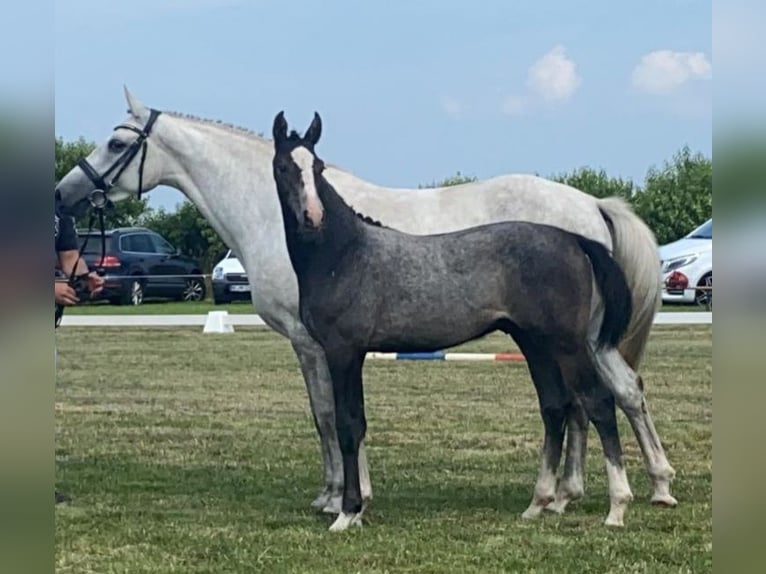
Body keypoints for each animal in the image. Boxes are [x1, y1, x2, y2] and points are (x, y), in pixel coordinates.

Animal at [270, 112, 640, 536]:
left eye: (317, 167)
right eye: (283, 167)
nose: (312, 218)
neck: (343, 255)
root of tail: (575, 239)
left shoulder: (343, 351)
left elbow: (347, 425)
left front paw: (347, 512)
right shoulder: (350, 354)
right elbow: (356, 422)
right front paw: (358, 509)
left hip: (568, 344)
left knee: (598, 402)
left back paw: (617, 507)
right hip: (535, 343)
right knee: (555, 407)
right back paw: (539, 502)